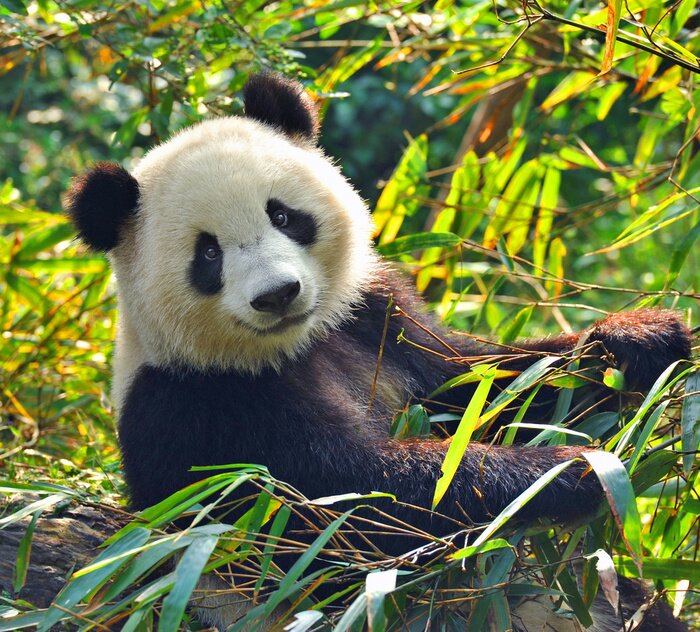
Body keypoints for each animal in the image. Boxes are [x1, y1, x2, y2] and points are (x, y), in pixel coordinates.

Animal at [66, 73, 691, 630]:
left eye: (282, 215)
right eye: (209, 254)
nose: (277, 294)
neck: (289, 345)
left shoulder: (374, 319)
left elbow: (482, 388)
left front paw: (636, 341)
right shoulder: (199, 409)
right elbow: (345, 504)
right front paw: (567, 471)